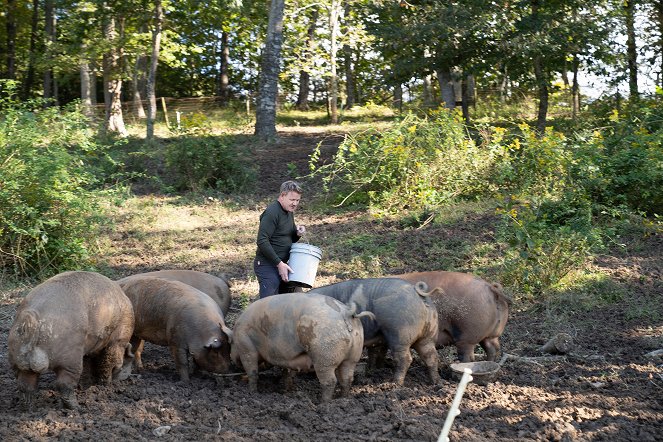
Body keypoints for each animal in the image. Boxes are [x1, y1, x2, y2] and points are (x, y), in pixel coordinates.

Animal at [7, 272, 135, 410]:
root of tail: (31, 321)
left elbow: (88, 365)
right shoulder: (117, 341)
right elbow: (108, 363)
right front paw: (106, 386)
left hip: (17, 359)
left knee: (25, 384)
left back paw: (28, 408)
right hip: (70, 358)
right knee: (64, 384)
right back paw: (76, 407)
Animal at [231, 292, 374, 402]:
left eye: (231, 344)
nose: (232, 359)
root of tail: (346, 312)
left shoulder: (246, 347)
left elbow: (252, 371)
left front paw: (252, 392)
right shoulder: (288, 358)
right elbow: (288, 373)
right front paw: (286, 391)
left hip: (324, 355)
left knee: (330, 381)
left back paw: (323, 403)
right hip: (353, 356)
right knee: (347, 378)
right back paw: (342, 399)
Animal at [308, 278, 444, 386]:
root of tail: (416, 290)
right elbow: (374, 353)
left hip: (400, 334)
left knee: (405, 359)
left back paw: (394, 383)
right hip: (428, 335)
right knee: (431, 356)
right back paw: (436, 382)